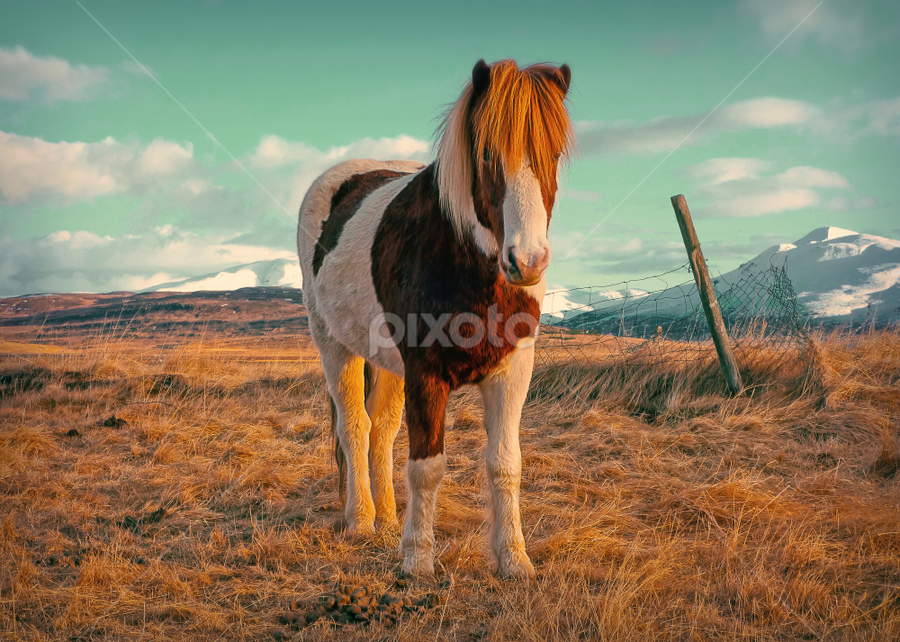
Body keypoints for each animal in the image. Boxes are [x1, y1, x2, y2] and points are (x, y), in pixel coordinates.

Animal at [297, 59, 573, 578]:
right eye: (485, 153)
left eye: (555, 154)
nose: (527, 261)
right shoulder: (425, 372)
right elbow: (427, 466)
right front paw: (418, 560)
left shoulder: (512, 370)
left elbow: (505, 463)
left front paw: (514, 559)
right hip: (333, 345)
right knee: (355, 427)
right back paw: (361, 520)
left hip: (386, 360)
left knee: (381, 430)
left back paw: (388, 517)